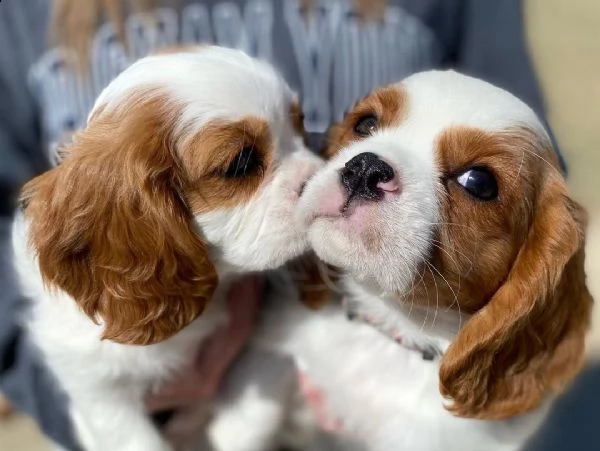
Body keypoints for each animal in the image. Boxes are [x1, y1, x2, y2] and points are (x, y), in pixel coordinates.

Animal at [210, 69, 592, 451]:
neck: (391, 323)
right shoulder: (275, 348)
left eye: (479, 182)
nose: (366, 168)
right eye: (365, 124)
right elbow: (248, 416)